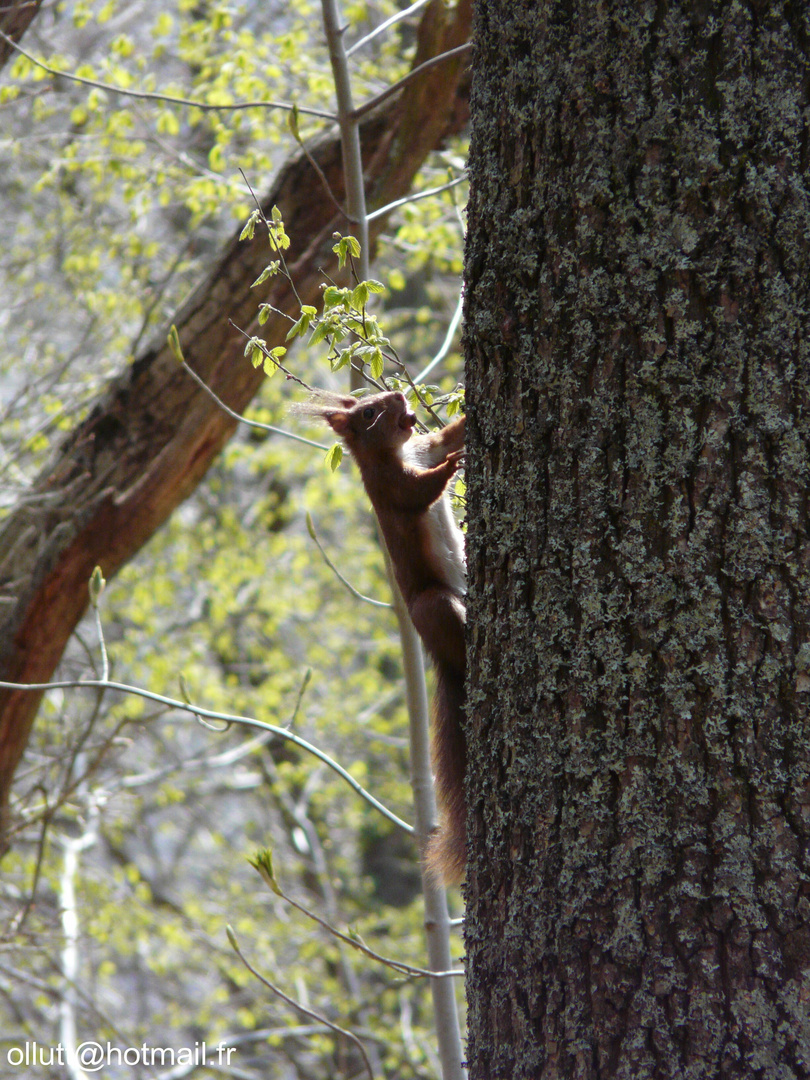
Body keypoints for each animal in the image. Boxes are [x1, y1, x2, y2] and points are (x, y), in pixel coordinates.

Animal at [295, 393, 466, 881]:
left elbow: (448, 436)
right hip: (432, 605)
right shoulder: (389, 488)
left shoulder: (424, 444)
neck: (400, 452)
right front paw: (451, 467)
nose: (399, 397)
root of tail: (442, 659)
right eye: (368, 413)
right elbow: (419, 492)